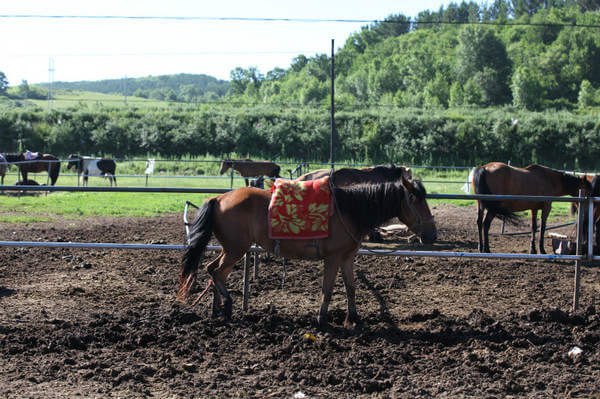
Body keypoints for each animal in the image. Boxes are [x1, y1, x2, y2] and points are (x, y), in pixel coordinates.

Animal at [177, 177, 436, 330]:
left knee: (213, 270)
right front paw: (322, 320)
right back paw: (227, 305)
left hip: (231, 249)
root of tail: (219, 197)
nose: (432, 235)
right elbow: (327, 289)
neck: (350, 210)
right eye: (417, 200)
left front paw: (353, 318)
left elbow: (351, 288)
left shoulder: (347, 257)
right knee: (217, 272)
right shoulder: (333, 258)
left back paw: (221, 308)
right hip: (236, 249)